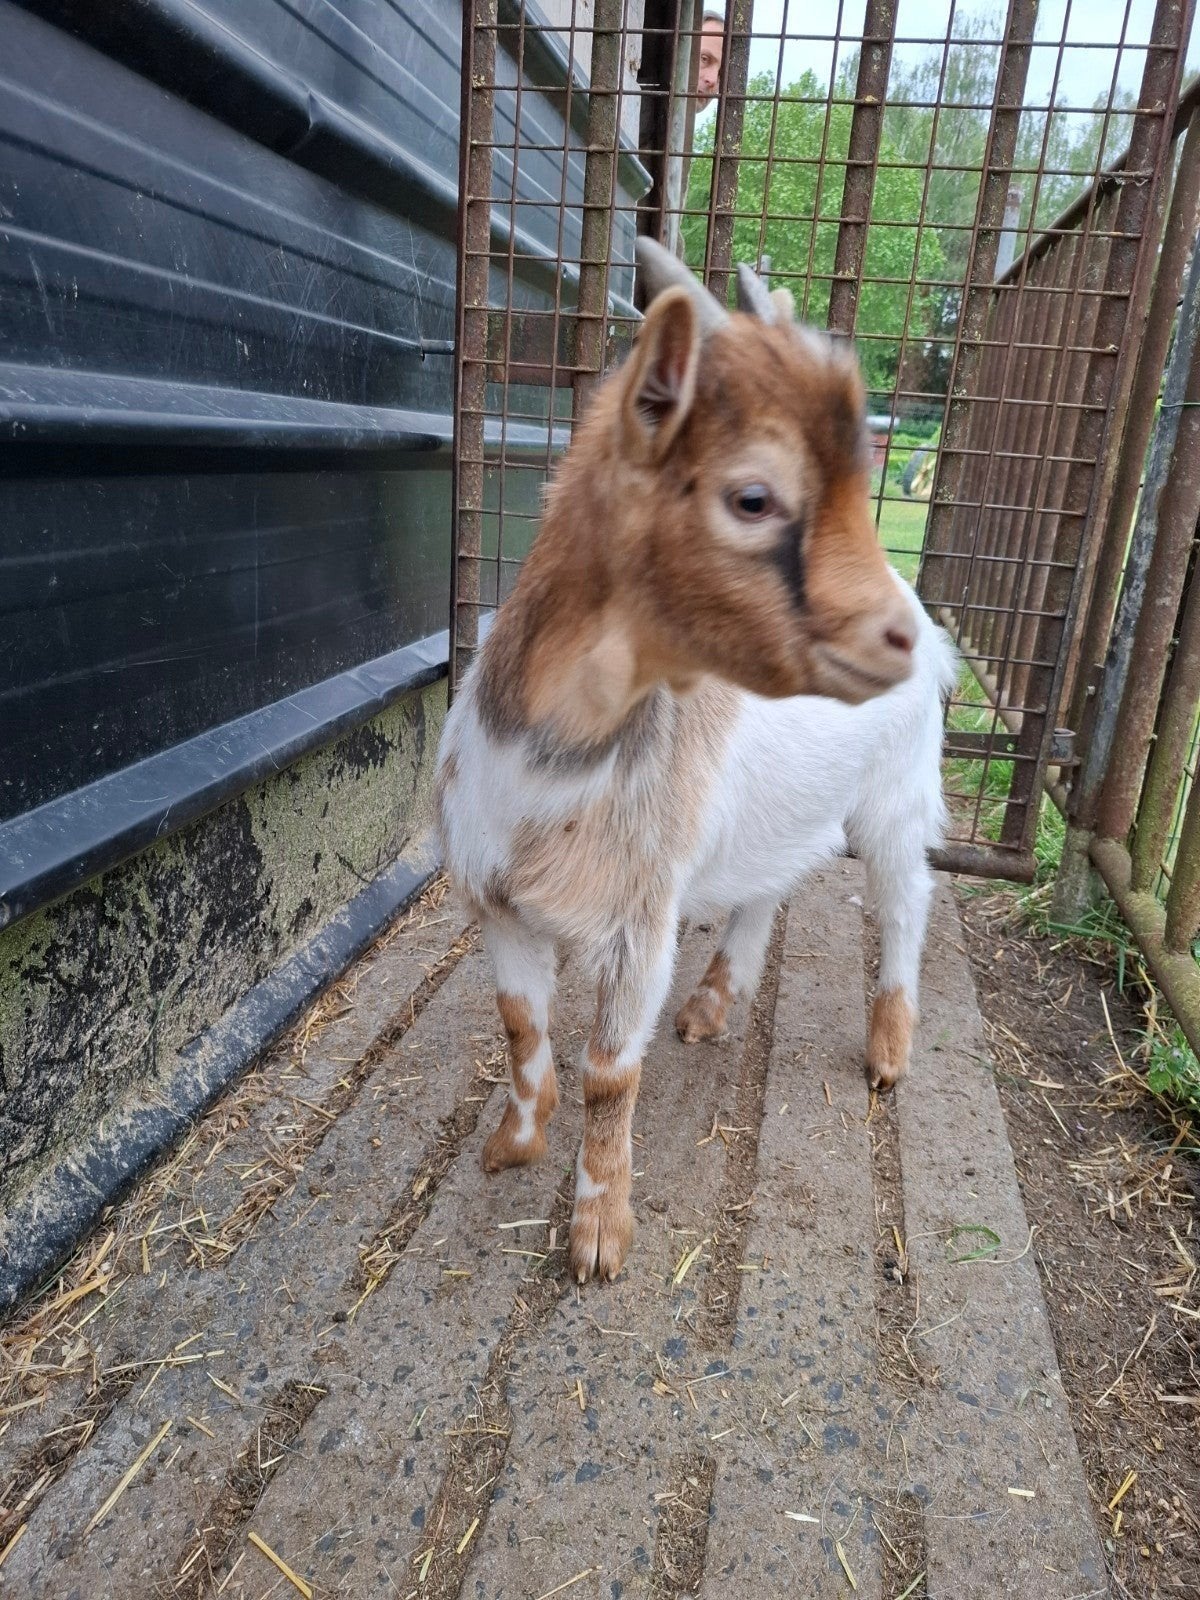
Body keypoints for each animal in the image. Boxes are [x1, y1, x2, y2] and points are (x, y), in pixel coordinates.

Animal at [435, 239, 956, 1283]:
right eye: (753, 497)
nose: (892, 640)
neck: (554, 763)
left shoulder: (641, 917)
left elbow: (608, 1075)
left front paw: (599, 1236)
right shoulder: (498, 903)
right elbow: (520, 1029)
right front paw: (513, 1145)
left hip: (897, 793)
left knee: (903, 902)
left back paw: (887, 1050)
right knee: (773, 882)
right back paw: (716, 1001)